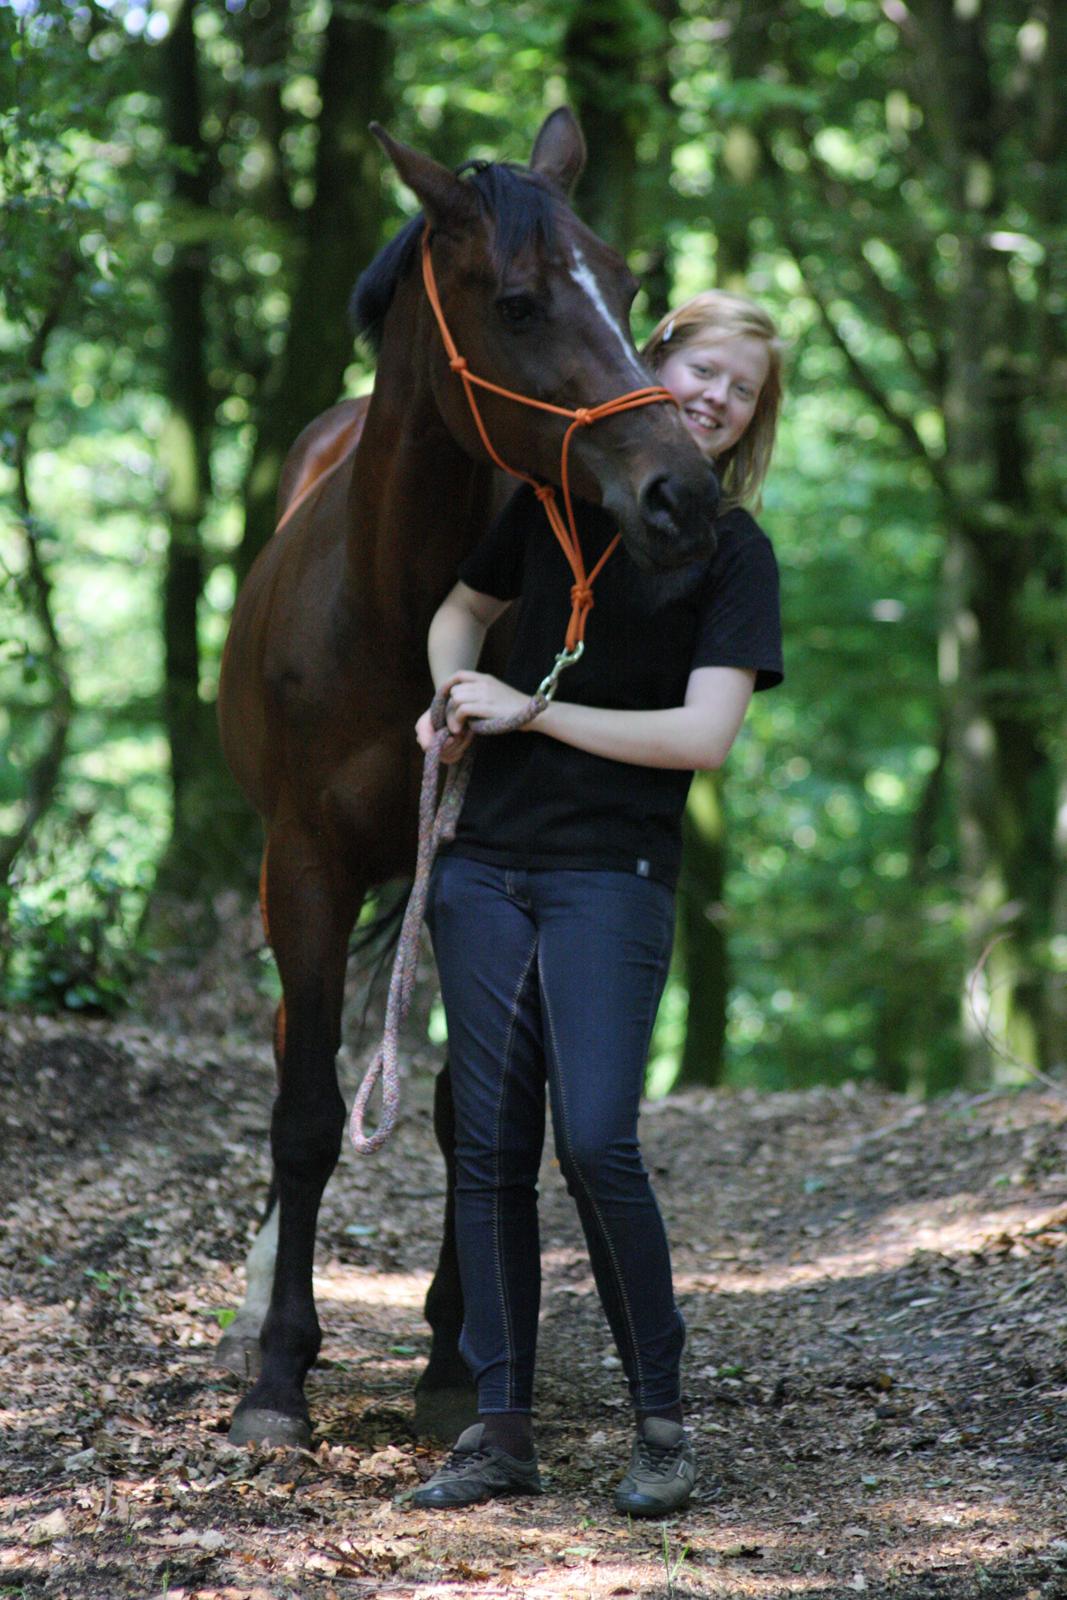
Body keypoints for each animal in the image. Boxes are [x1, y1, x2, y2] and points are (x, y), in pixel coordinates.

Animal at [214, 106, 716, 1446]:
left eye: (629, 287)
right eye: (519, 302)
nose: (683, 494)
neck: (389, 607)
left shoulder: (469, 869)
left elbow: (468, 1109)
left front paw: (452, 1355)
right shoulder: (305, 866)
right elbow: (305, 1113)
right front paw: (276, 1375)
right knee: (291, 1051)